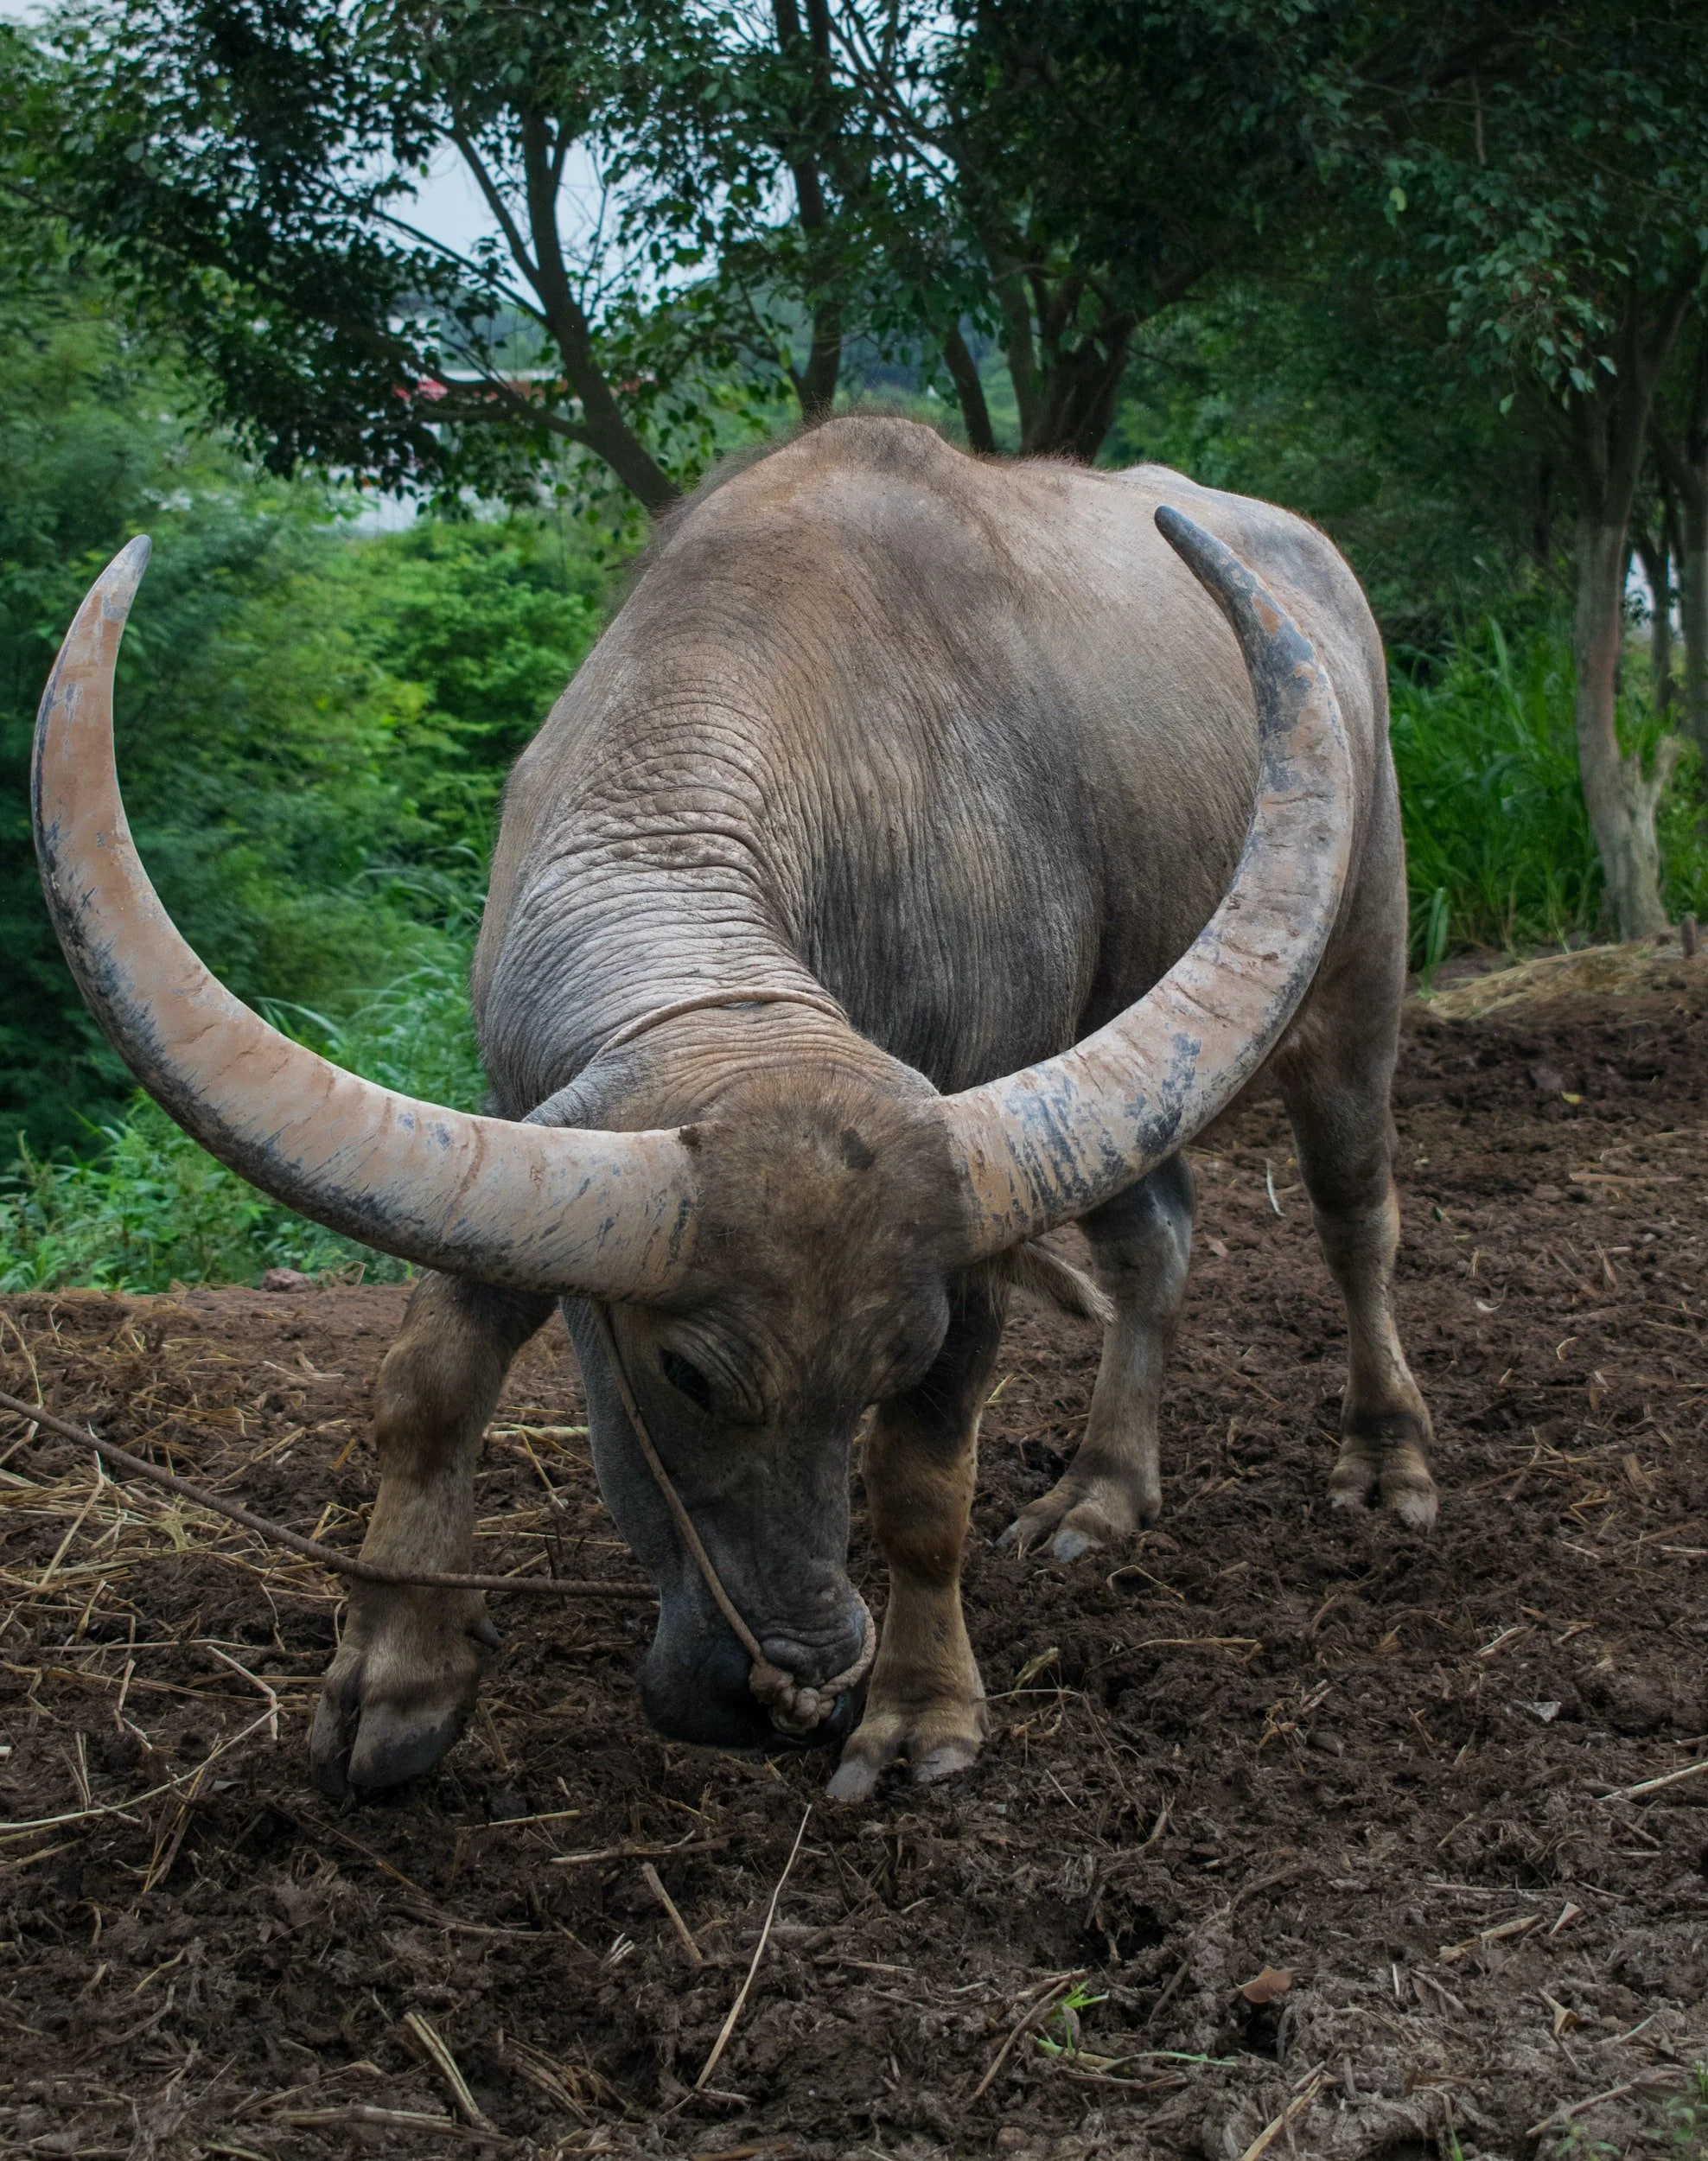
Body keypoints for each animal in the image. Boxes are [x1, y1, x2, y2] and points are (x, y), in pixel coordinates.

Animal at [33, 417, 1433, 1804]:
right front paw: (394, 1682)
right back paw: (1097, 1492)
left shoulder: (967, 1214)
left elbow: (924, 1480)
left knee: (1355, 1216)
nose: (795, 1686)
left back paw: (1386, 1458)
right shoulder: (524, 1136)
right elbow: (430, 1376)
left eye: (899, 1357)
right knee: (1158, 1242)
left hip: (1357, 973)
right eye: (687, 1374)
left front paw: (919, 1714)